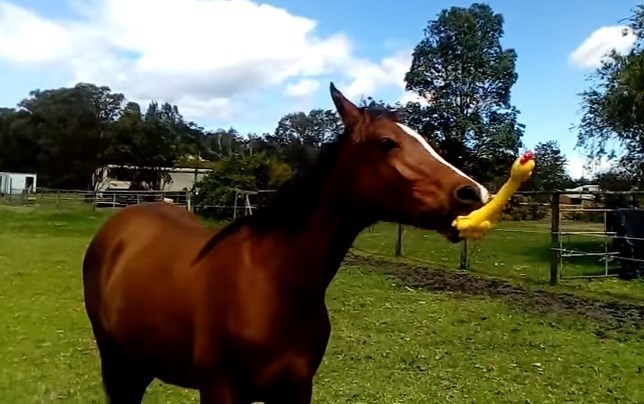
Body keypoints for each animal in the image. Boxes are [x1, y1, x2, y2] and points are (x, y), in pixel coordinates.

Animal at [82, 83, 491, 403]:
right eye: (386, 142)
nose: (474, 193)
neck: (273, 282)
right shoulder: (219, 391)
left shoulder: (296, 389)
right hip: (117, 365)